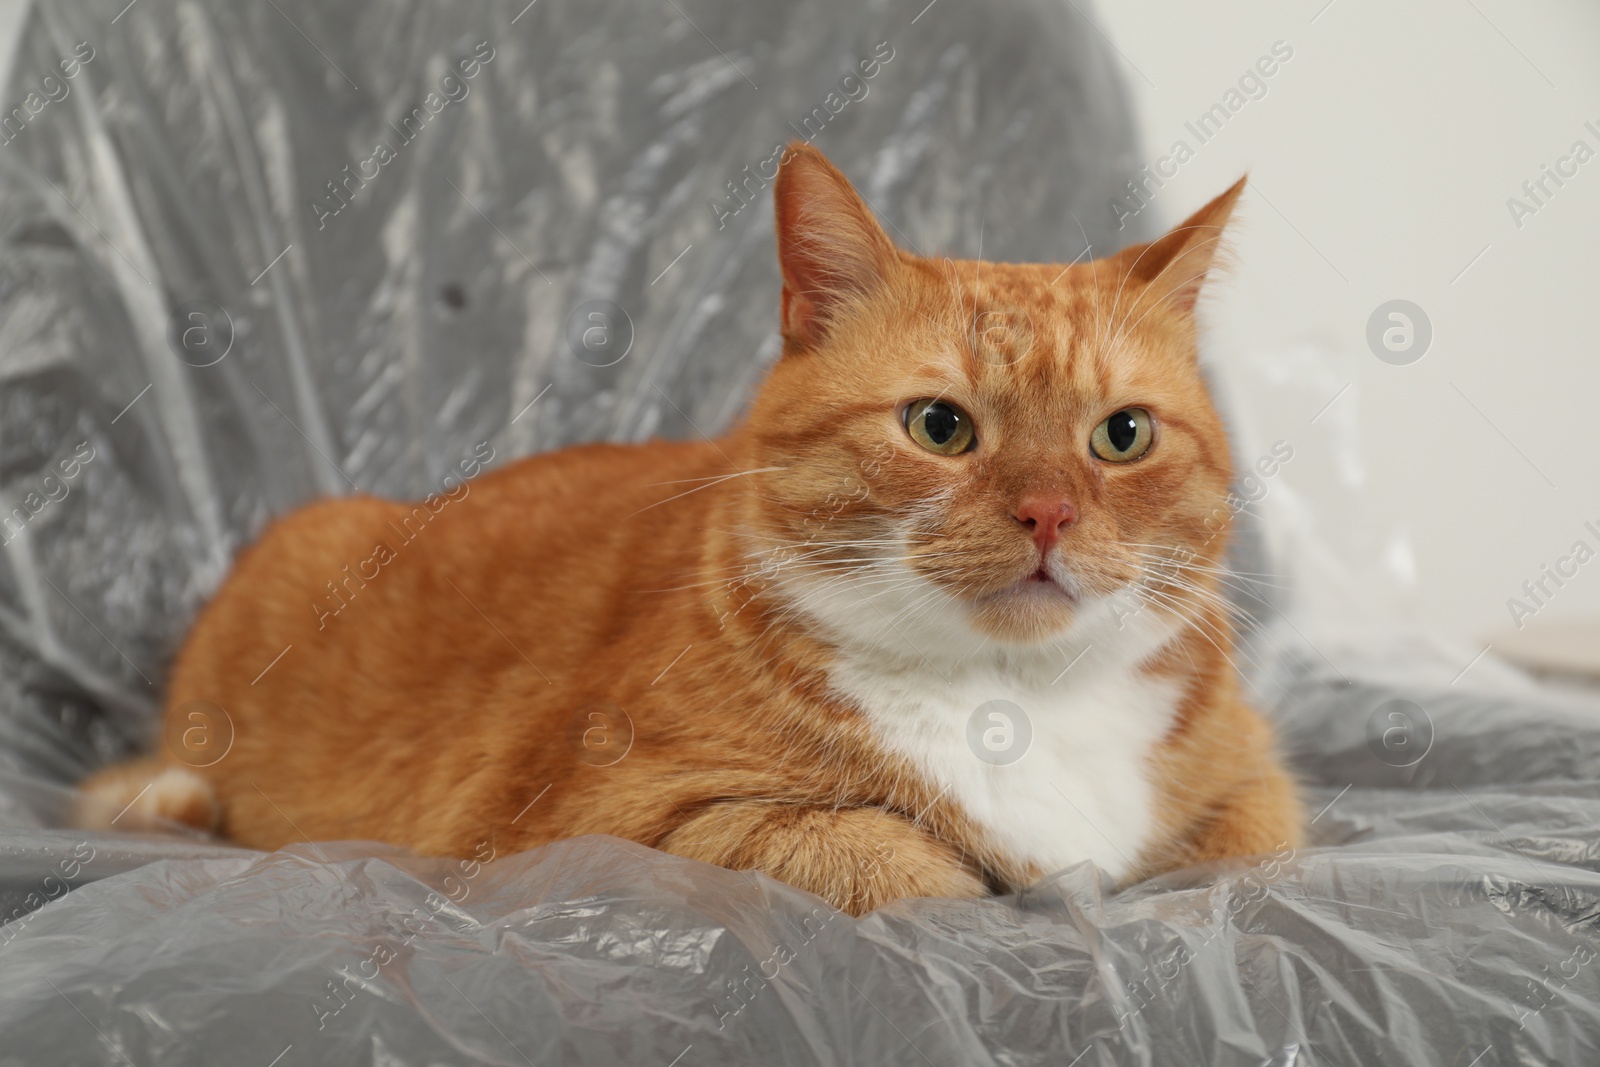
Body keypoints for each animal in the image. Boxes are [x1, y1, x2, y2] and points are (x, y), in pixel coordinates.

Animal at [81, 143, 1299, 921]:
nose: (1048, 510)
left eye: (1122, 435)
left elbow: (1251, 845)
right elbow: (887, 861)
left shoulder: (1251, 788)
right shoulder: (587, 837)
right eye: (940, 426)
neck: (1014, 697)